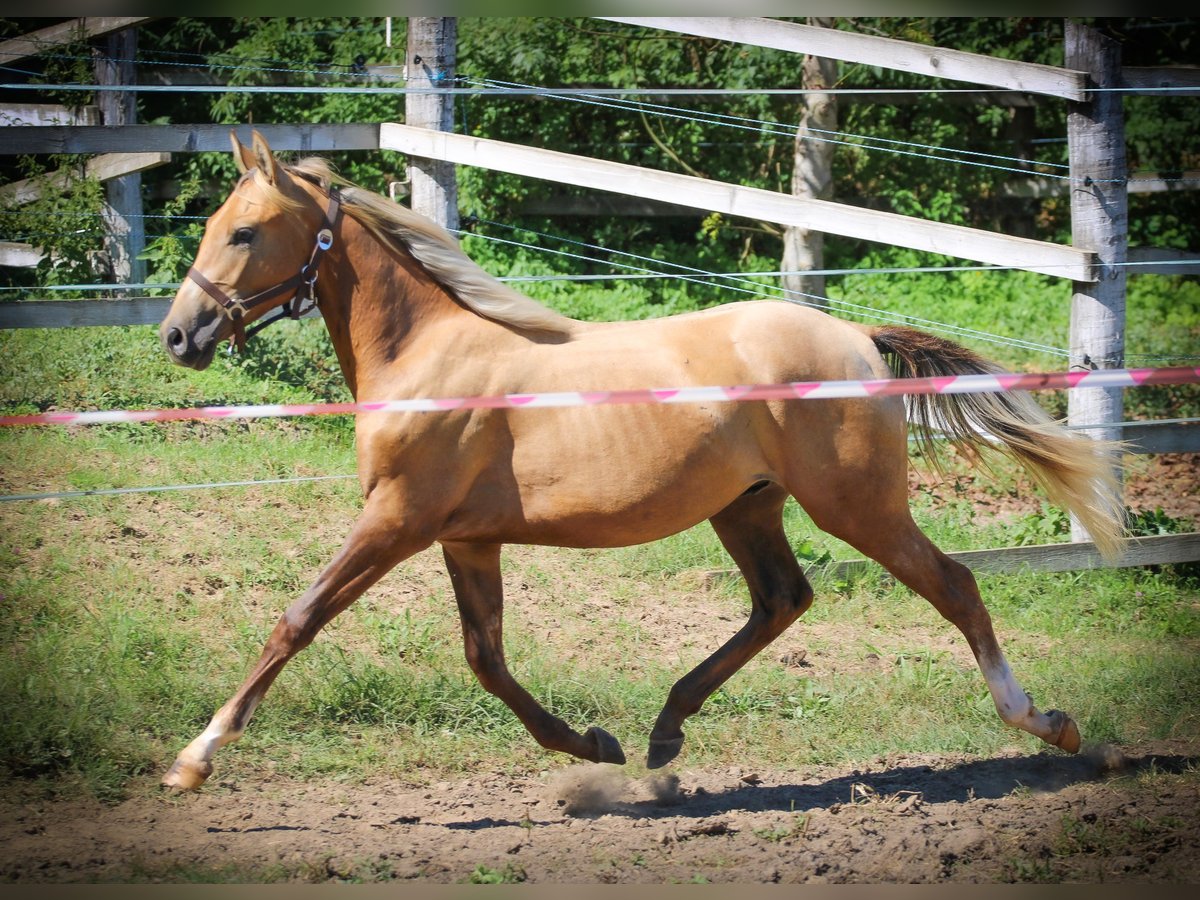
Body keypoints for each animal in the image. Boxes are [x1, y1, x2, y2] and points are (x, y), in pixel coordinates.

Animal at [157, 130, 1125, 791]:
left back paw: (1048, 723)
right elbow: (487, 660)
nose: (179, 336)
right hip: (749, 506)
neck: (426, 356)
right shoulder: (466, 539)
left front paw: (194, 758)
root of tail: (856, 337)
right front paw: (594, 744)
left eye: (244, 232)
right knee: (782, 601)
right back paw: (664, 730)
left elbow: (298, 619)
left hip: (858, 507)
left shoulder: (397, 519)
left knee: (952, 585)